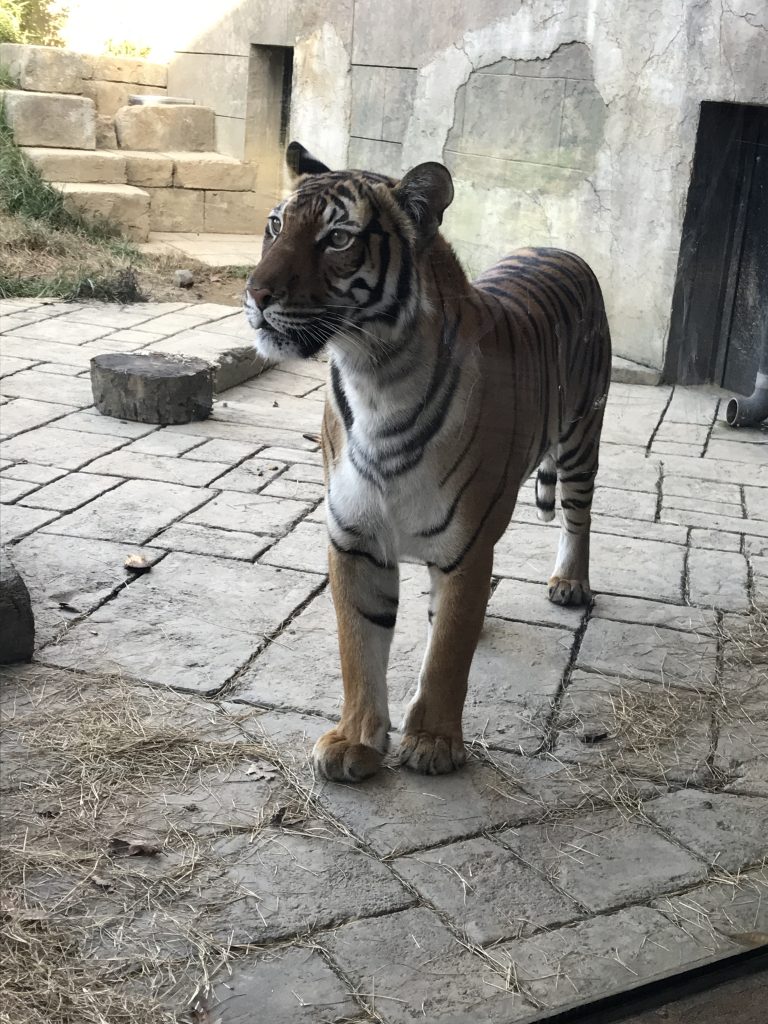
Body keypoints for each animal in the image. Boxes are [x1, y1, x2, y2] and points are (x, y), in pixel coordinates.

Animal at [244, 141, 612, 784]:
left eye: (337, 239)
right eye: (274, 227)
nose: (255, 293)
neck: (375, 376)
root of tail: (558, 247)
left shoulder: (467, 543)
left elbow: (447, 657)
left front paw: (434, 743)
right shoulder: (355, 537)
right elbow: (359, 646)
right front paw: (355, 741)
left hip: (581, 439)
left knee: (577, 515)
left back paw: (570, 582)